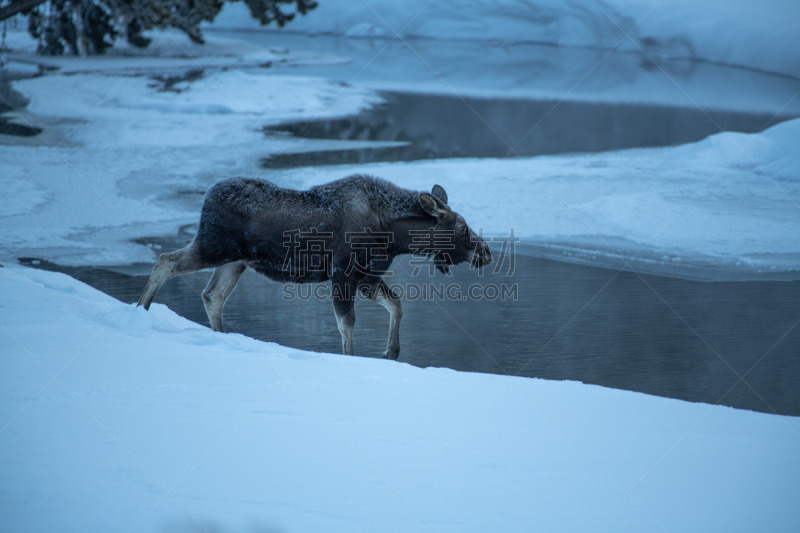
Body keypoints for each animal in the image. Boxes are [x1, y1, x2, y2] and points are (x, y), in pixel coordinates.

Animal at [138, 175, 494, 358]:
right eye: (463, 227)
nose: (486, 252)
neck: (395, 235)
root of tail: (205, 198)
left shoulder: (366, 276)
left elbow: (396, 304)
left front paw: (391, 352)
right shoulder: (343, 274)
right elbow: (347, 325)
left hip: (235, 261)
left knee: (212, 296)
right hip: (214, 247)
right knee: (165, 261)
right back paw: (140, 310)